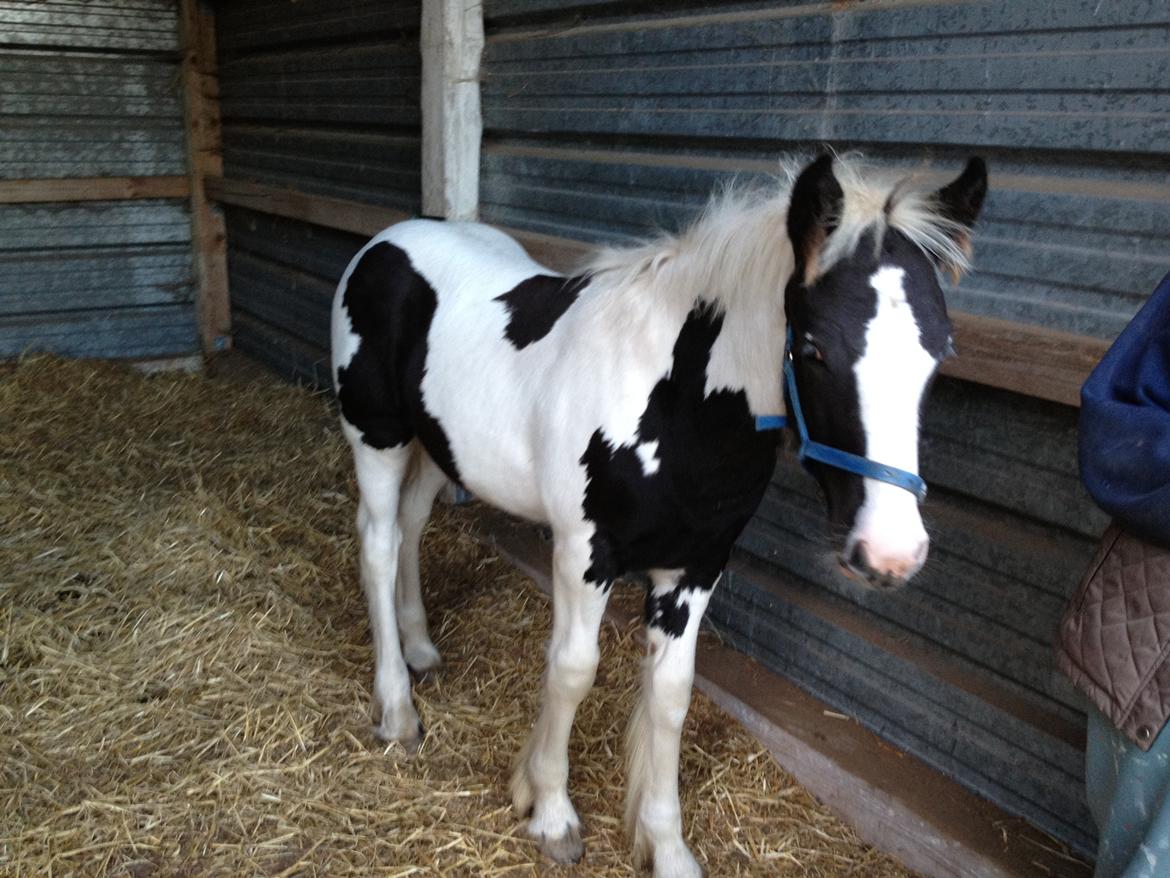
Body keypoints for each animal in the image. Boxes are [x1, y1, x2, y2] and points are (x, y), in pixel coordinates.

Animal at [329, 154, 987, 875]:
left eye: (940, 352)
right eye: (813, 347)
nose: (890, 552)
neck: (669, 402)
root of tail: (387, 240)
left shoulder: (695, 569)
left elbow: (671, 695)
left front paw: (666, 846)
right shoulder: (584, 555)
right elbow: (572, 671)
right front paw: (550, 812)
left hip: (435, 445)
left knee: (413, 526)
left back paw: (420, 647)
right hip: (378, 437)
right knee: (379, 544)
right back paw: (397, 710)